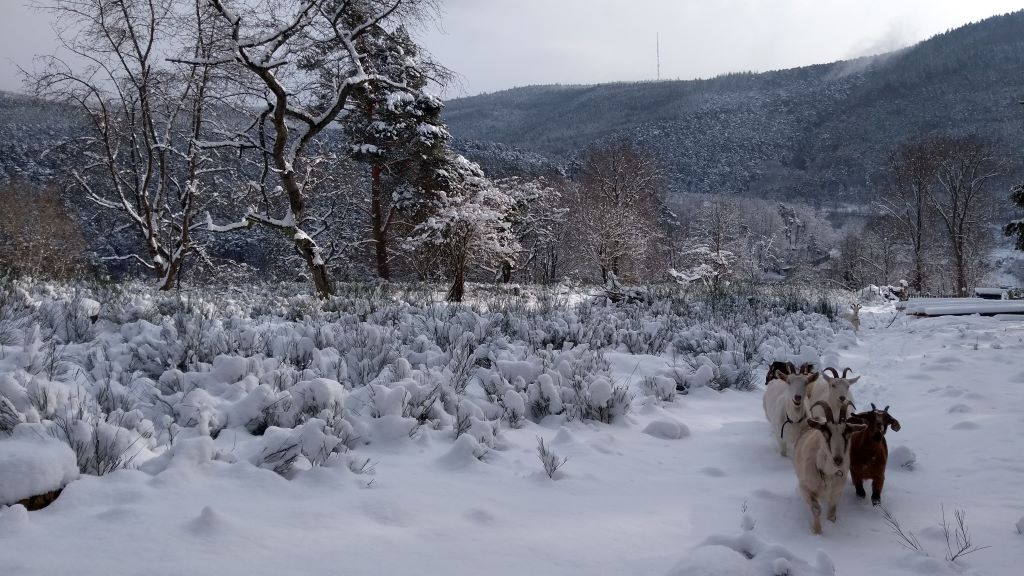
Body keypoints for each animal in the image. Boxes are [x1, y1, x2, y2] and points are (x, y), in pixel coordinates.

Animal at [790, 401, 864, 532]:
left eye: (847, 433)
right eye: (826, 433)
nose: (838, 460)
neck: (827, 472)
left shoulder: (836, 492)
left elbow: (832, 514)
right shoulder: (806, 488)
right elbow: (816, 509)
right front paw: (817, 531)